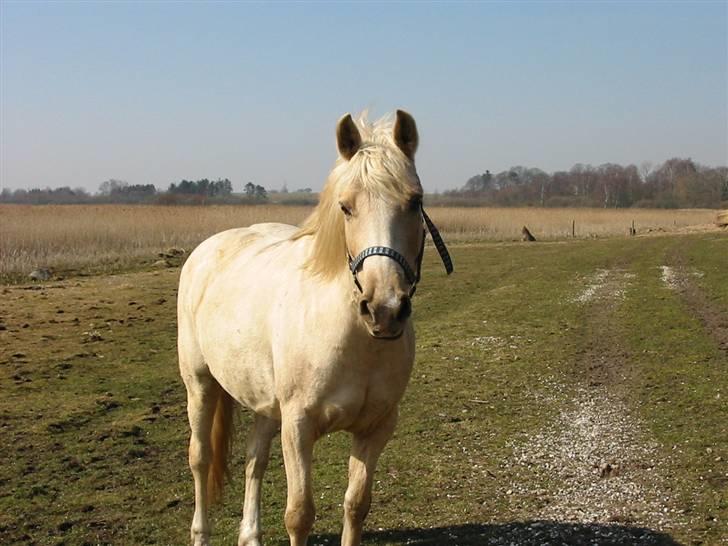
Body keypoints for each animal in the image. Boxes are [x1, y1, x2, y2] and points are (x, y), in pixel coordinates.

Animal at [177, 110, 450, 544]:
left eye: (415, 201)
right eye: (345, 207)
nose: (384, 309)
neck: (354, 341)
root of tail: (205, 250)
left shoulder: (376, 428)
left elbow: (356, 505)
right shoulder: (298, 427)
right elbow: (299, 515)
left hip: (265, 403)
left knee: (255, 459)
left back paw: (250, 534)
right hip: (200, 384)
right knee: (200, 459)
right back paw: (201, 532)